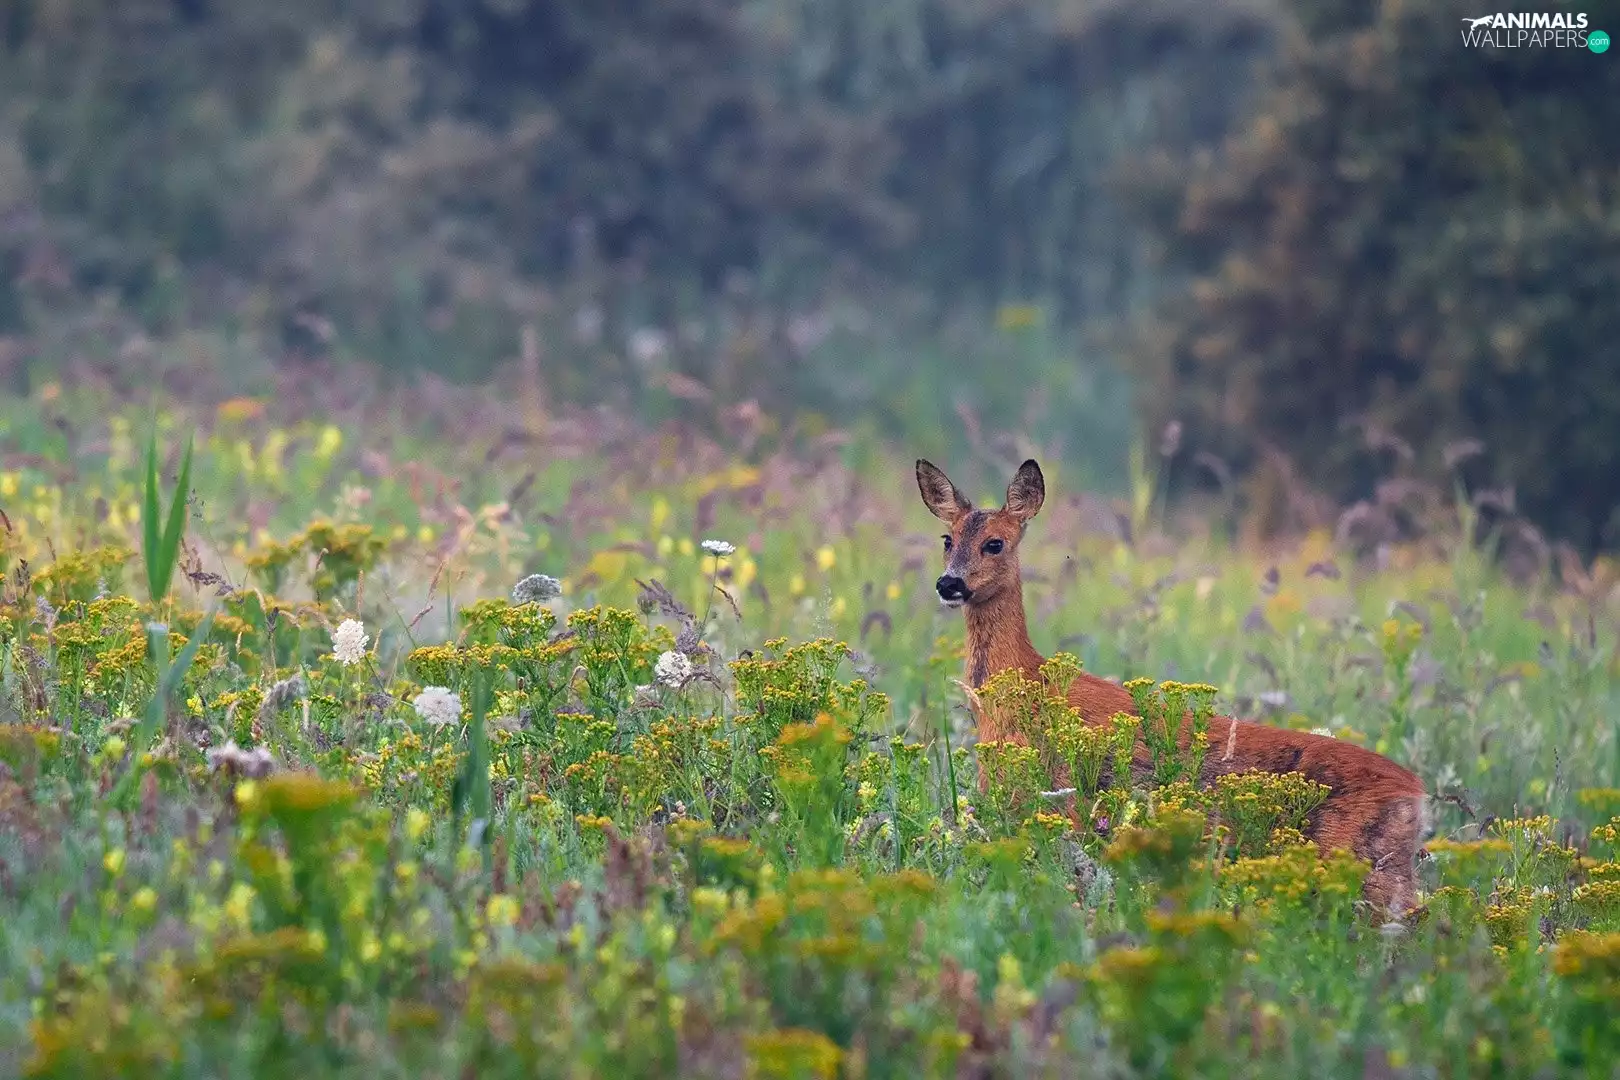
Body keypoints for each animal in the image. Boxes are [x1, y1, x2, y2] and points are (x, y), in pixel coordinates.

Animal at [917, 457, 1430, 918]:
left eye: (995, 543)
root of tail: (1417, 793)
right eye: (947, 539)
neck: (1022, 686)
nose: (948, 583)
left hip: (1357, 861)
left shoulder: (1064, 803)